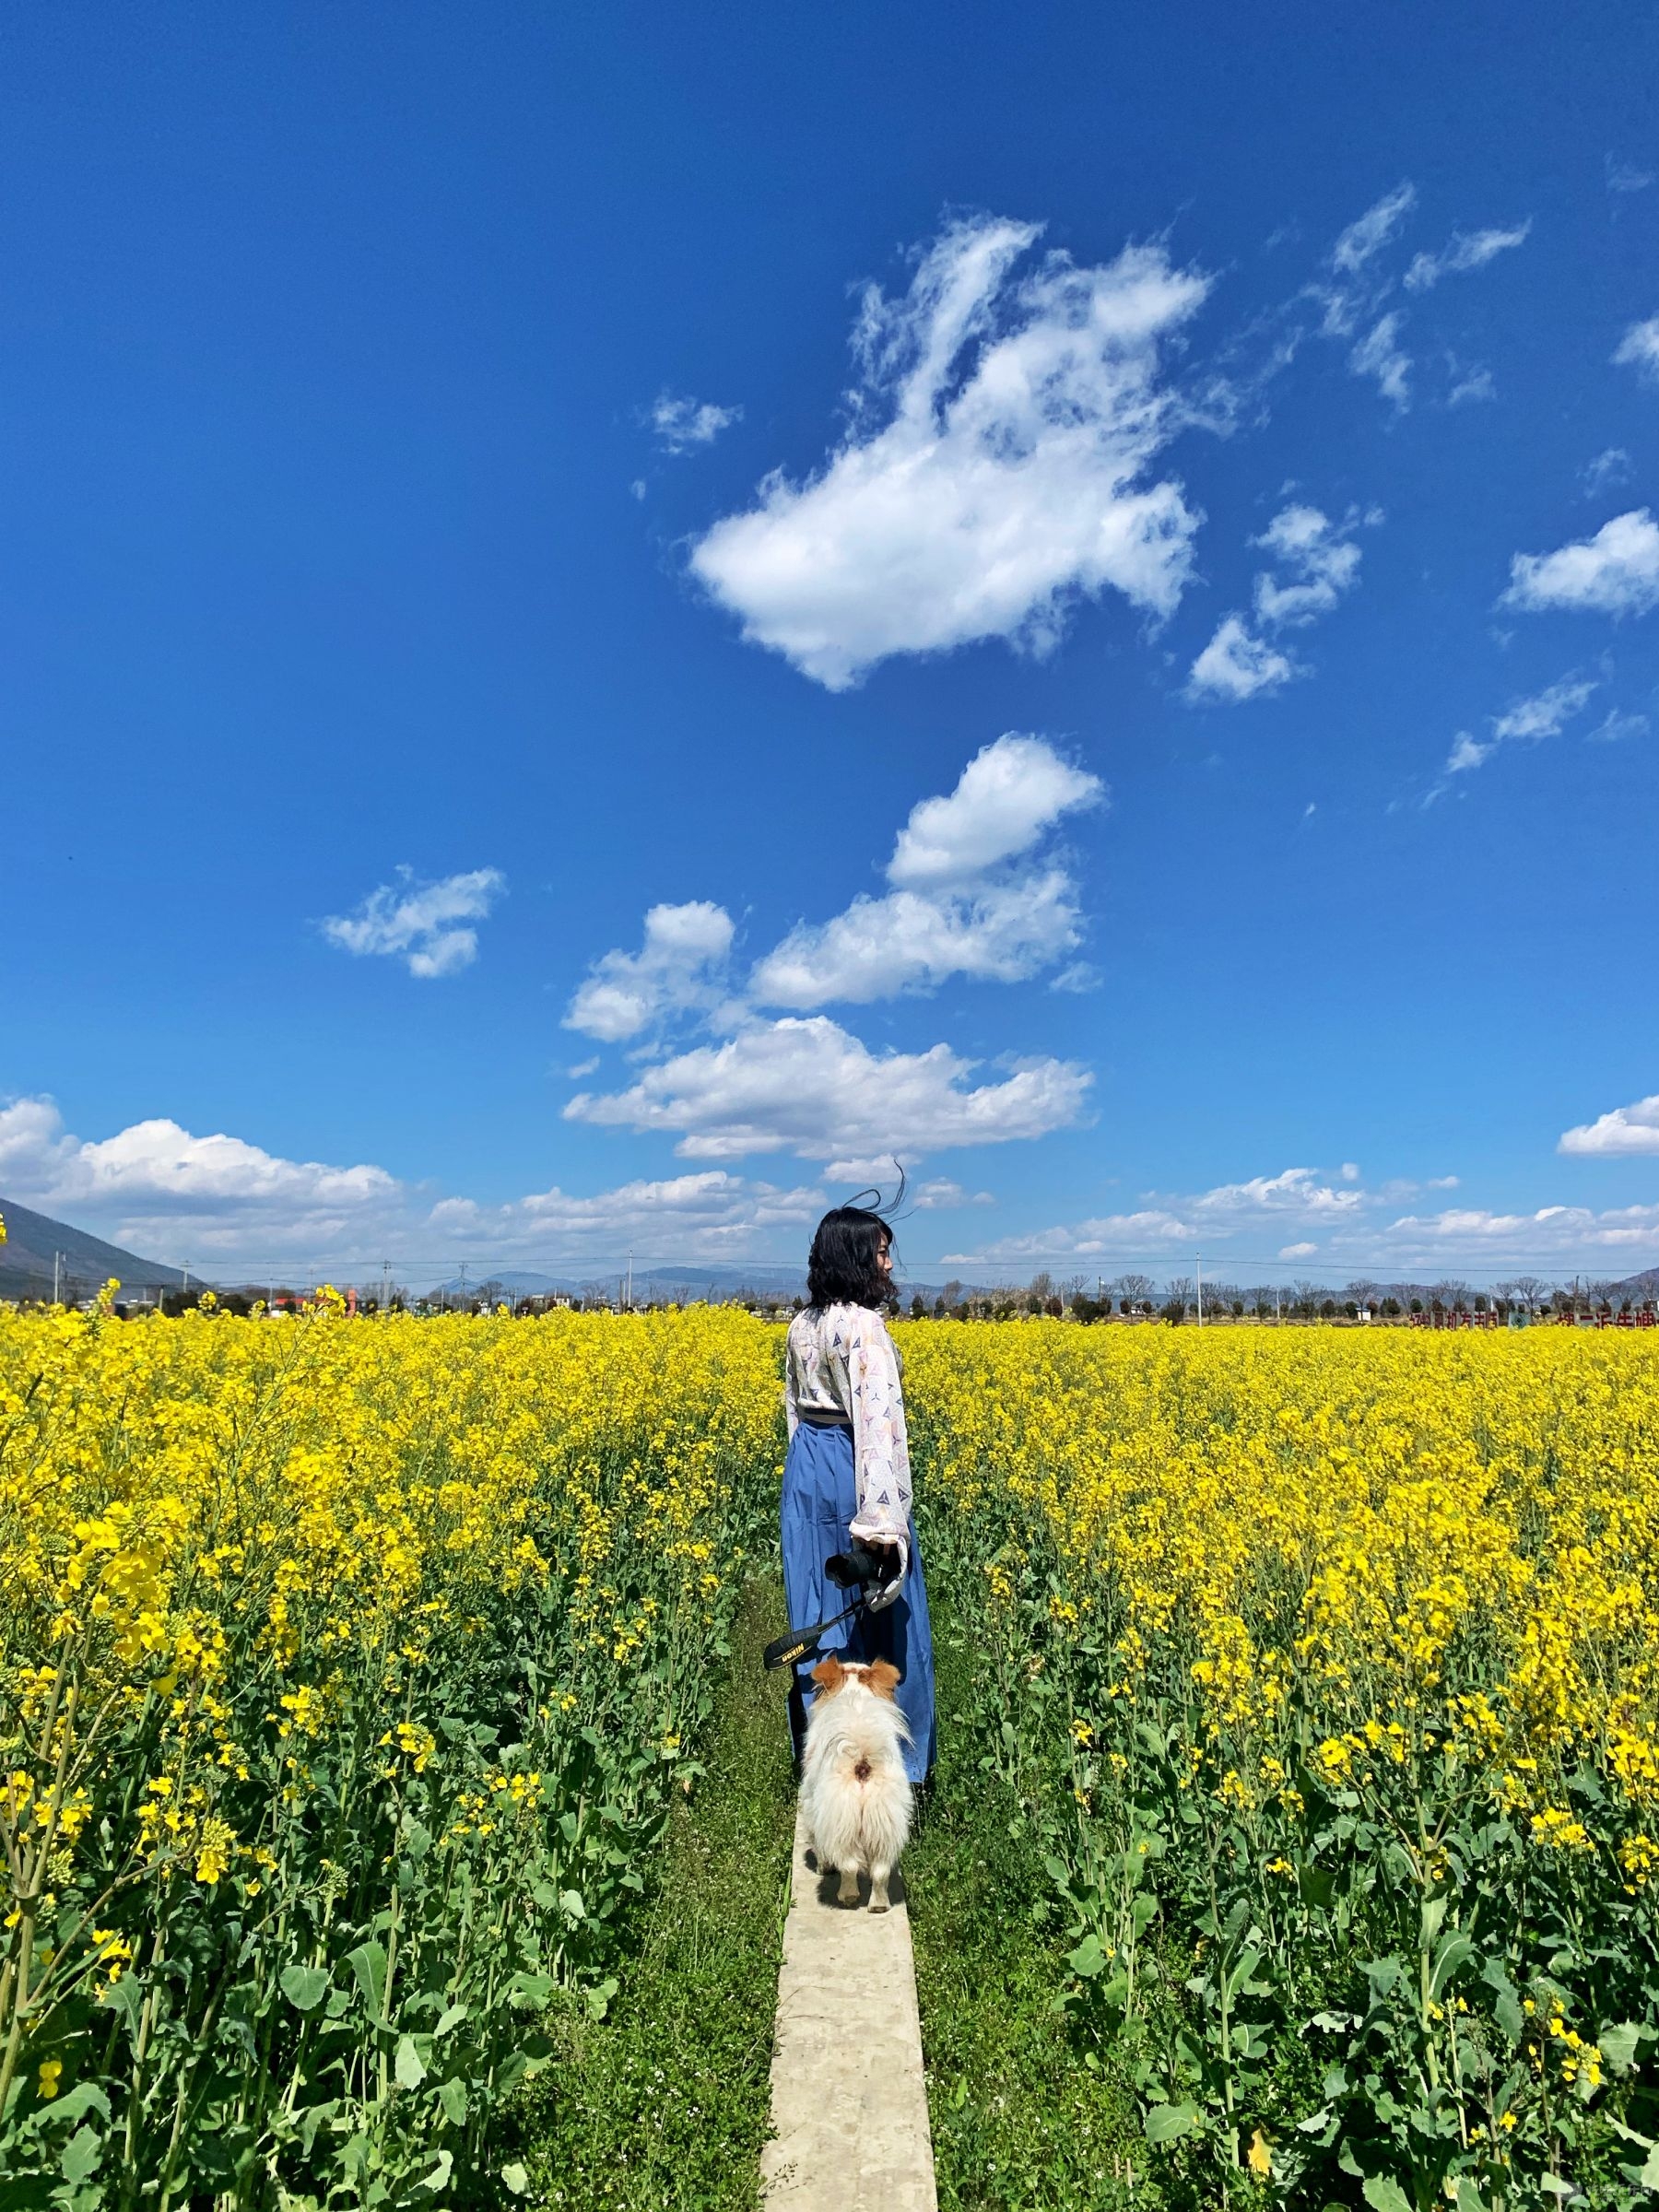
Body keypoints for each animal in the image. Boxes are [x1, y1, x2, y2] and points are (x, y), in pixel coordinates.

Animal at [800, 1654, 915, 1911]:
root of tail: (862, 1761)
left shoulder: (812, 1809)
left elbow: (818, 1846)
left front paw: (822, 1868)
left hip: (839, 1818)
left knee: (849, 1865)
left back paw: (848, 1896)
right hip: (885, 1820)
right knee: (881, 1871)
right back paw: (879, 1905)